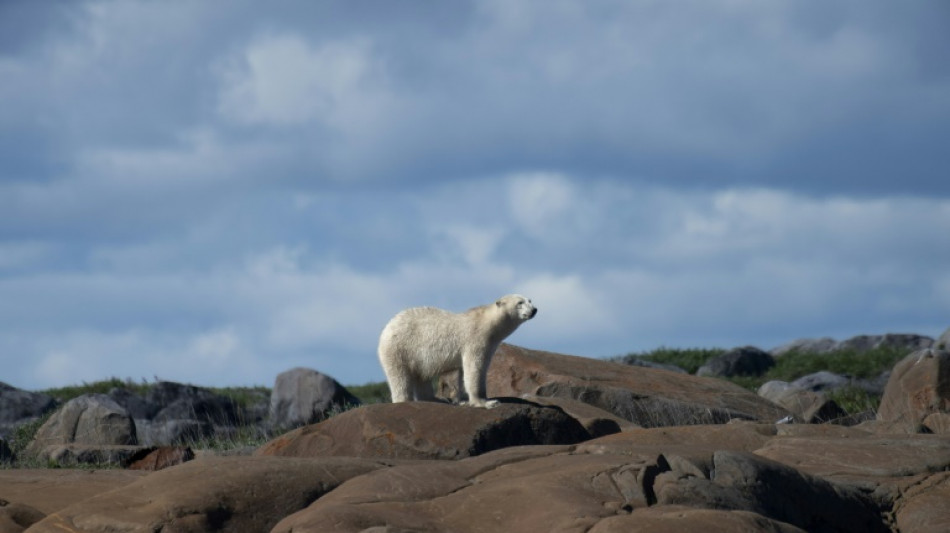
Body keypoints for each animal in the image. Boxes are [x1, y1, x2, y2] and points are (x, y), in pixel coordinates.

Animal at [377, 294, 537, 408]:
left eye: (529, 300)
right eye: (520, 302)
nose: (534, 310)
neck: (486, 323)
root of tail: (386, 329)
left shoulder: (489, 345)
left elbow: (465, 372)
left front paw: (463, 400)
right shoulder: (475, 339)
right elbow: (474, 369)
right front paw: (486, 402)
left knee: (421, 376)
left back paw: (437, 399)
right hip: (399, 348)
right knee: (400, 378)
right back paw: (405, 400)